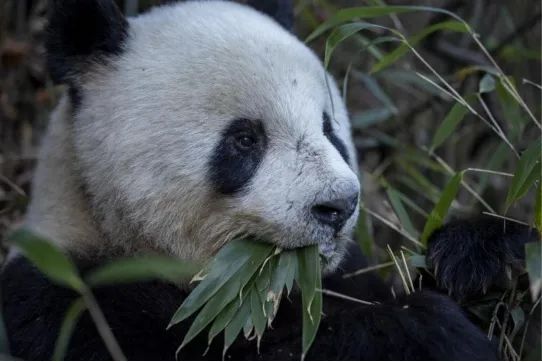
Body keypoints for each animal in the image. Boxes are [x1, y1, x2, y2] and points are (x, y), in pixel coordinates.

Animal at [0, 1, 536, 360]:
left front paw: (484, 261)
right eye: (244, 140)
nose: (338, 206)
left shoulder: (342, 275)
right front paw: (423, 329)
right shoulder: (70, 306)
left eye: (328, 128)